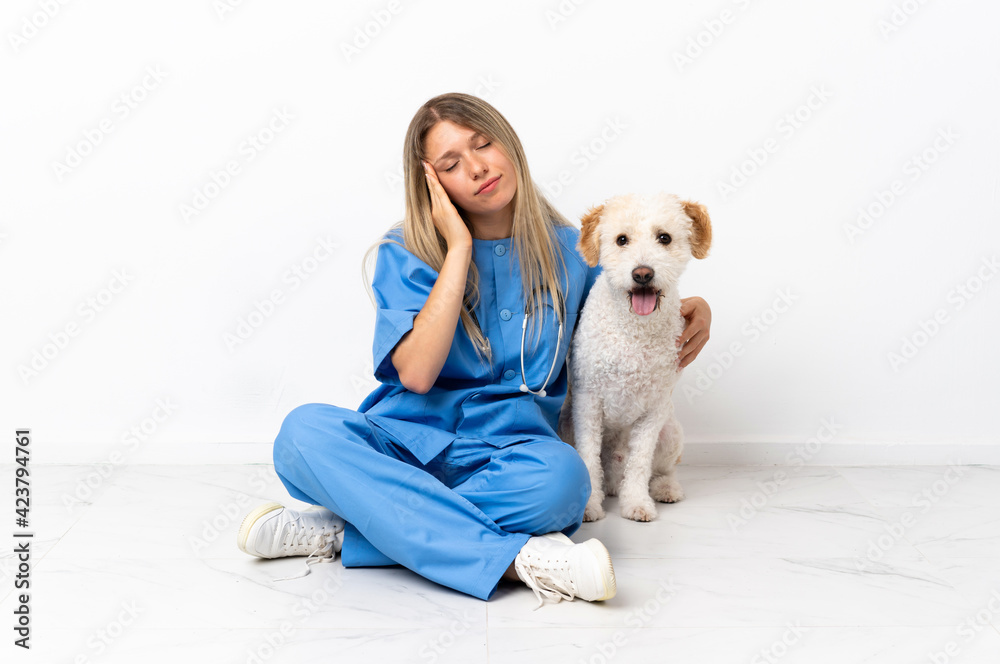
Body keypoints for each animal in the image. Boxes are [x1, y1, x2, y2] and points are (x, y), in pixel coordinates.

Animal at [560, 193, 716, 524]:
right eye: (622, 240)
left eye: (664, 238)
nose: (642, 273)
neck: (634, 332)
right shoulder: (587, 402)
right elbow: (588, 457)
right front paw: (589, 506)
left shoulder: (655, 408)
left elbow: (641, 462)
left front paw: (637, 503)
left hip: (671, 432)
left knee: (660, 470)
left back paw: (665, 488)